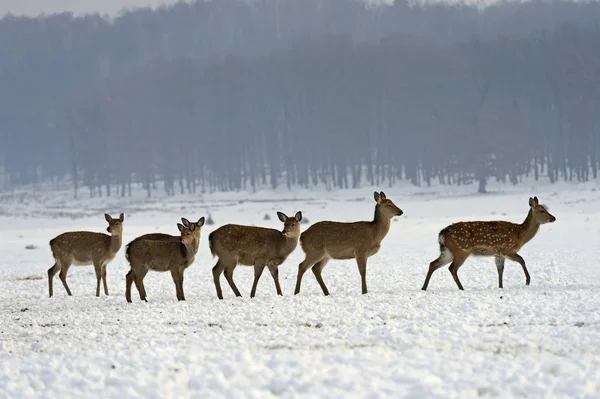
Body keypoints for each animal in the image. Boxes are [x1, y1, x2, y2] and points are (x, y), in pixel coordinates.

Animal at [420, 196, 556, 292]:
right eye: (542, 210)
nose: (553, 218)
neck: (520, 236)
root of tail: (442, 234)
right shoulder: (507, 249)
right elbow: (522, 260)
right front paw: (527, 280)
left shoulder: (498, 254)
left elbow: (500, 270)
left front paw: (501, 286)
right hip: (461, 250)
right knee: (452, 268)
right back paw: (461, 288)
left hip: (447, 251)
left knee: (433, 264)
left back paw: (424, 287)